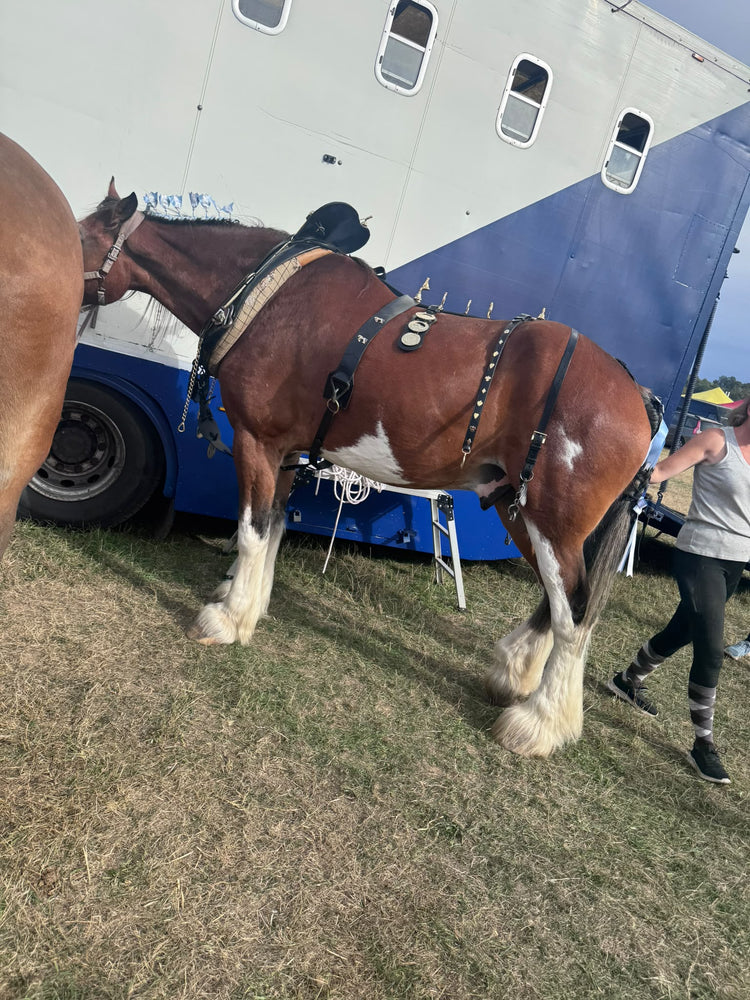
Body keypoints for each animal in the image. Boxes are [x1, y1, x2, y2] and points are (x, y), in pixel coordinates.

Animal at [78, 182, 658, 757]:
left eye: (83, 236)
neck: (269, 294)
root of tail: (639, 396)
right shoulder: (286, 451)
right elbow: (276, 525)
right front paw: (251, 604)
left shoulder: (257, 441)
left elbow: (252, 529)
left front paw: (226, 619)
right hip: (519, 506)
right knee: (552, 597)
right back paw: (512, 671)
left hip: (552, 518)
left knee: (574, 611)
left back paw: (540, 722)